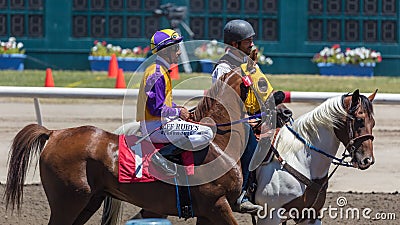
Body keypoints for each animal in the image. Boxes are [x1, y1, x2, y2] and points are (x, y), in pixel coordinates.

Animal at [4, 67, 268, 225]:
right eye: (260, 85)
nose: (275, 108)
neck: (217, 144)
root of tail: (55, 133)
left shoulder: (206, 211)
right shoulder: (216, 205)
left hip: (88, 201)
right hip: (68, 202)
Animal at [255, 89, 376, 224]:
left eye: (373, 123)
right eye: (359, 120)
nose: (368, 159)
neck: (300, 160)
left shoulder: (311, 215)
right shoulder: (269, 215)